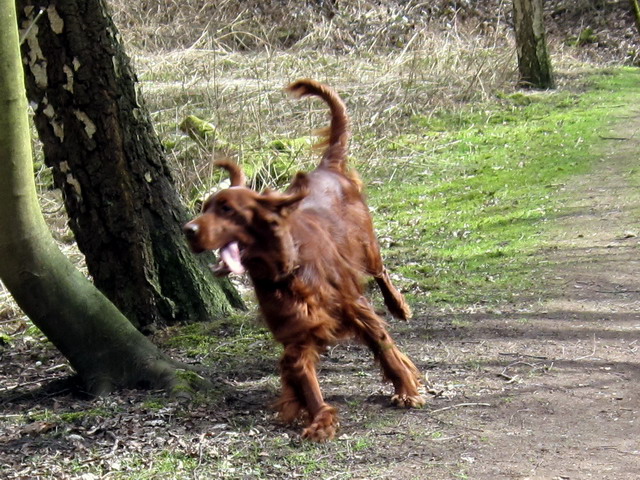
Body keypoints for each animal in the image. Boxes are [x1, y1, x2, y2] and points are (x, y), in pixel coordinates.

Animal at [183, 79, 425, 441]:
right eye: (204, 207)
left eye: (227, 209)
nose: (188, 229)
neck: (287, 270)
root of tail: (326, 168)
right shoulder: (297, 331)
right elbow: (302, 375)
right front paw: (320, 418)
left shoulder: (354, 306)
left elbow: (384, 346)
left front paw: (406, 389)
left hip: (366, 244)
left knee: (380, 271)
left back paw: (399, 306)